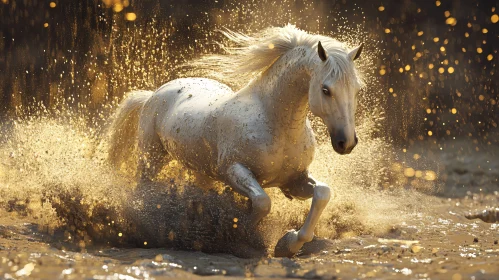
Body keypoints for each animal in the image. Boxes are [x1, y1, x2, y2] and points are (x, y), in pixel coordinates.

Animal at [108, 25, 364, 258]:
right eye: (326, 89)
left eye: (357, 89)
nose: (346, 143)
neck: (275, 124)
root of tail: (153, 94)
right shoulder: (233, 170)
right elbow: (262, 202)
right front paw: (243, 238)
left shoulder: (294, 180)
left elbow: (322, 193)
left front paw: (287, 244)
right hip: (150, 158)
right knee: (142, 191)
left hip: (201, 172)